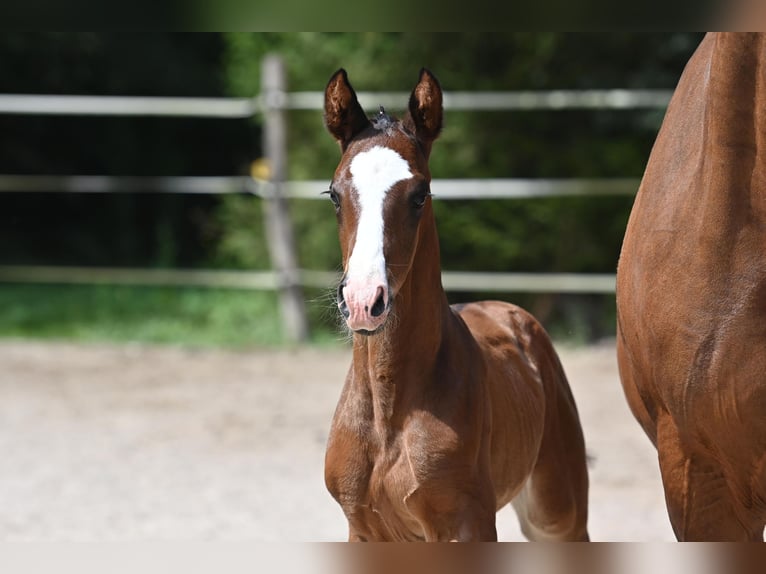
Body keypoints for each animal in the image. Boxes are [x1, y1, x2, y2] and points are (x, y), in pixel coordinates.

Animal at [320, 70, 592, 544]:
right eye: (335, 195)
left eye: (420, 195)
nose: (363, 301)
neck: (389, 411)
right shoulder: (364, 528)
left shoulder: (466, 524)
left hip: (557, 514)